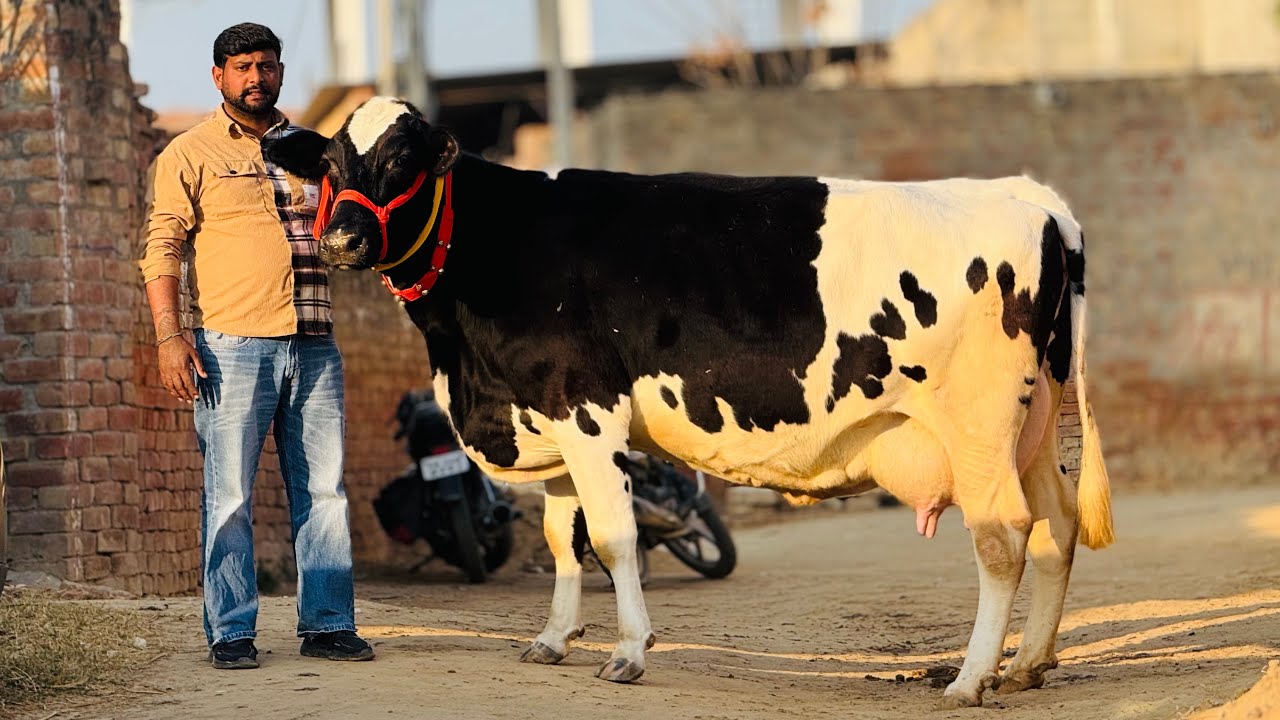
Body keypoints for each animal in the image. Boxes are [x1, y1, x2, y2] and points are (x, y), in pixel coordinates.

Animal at [266, 96, 1114, 708]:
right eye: (332, 162)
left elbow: (612, 540)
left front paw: (627, 652)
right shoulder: (545, 419)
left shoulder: (587, 410)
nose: (340, 240)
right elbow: (562, 541)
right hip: (1033, 426)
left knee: (1004, 537)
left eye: (401, 159)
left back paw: (971, 680)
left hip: (978, 426)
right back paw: (1028, 665)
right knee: (1057, 526)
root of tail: (1026, 196)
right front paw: (552, 640)